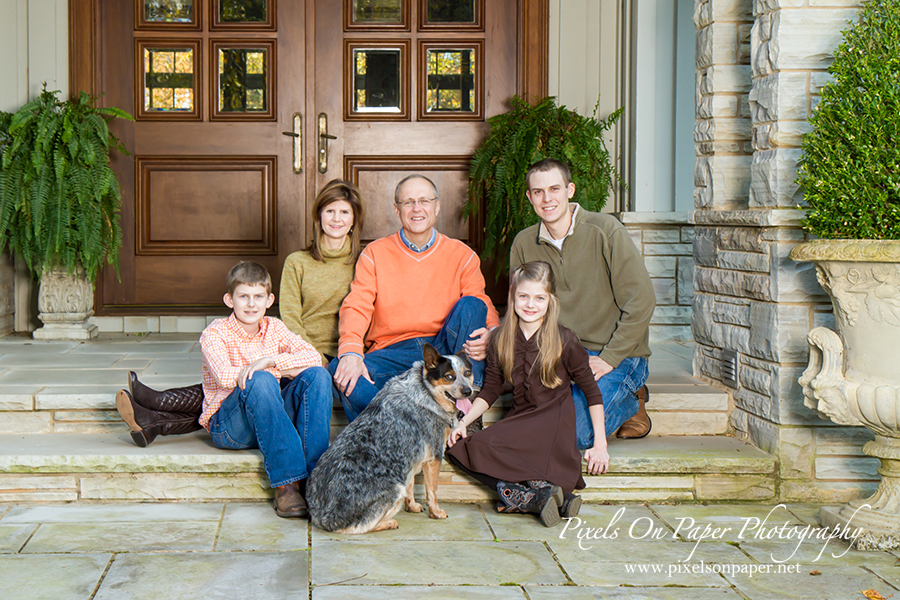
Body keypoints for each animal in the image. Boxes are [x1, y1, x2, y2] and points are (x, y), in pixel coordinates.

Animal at [306, 342, 474, 536]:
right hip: (394, 489)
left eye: (467, 373)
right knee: (358, 527)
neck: (426, 391)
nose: (468, 391)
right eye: (449, 377)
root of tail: (322, 517)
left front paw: (412, 506)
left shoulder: (410, 456)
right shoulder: (434, 457)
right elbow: (432, 490)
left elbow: (411, 484)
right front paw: (436, 512)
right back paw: (389, 522)